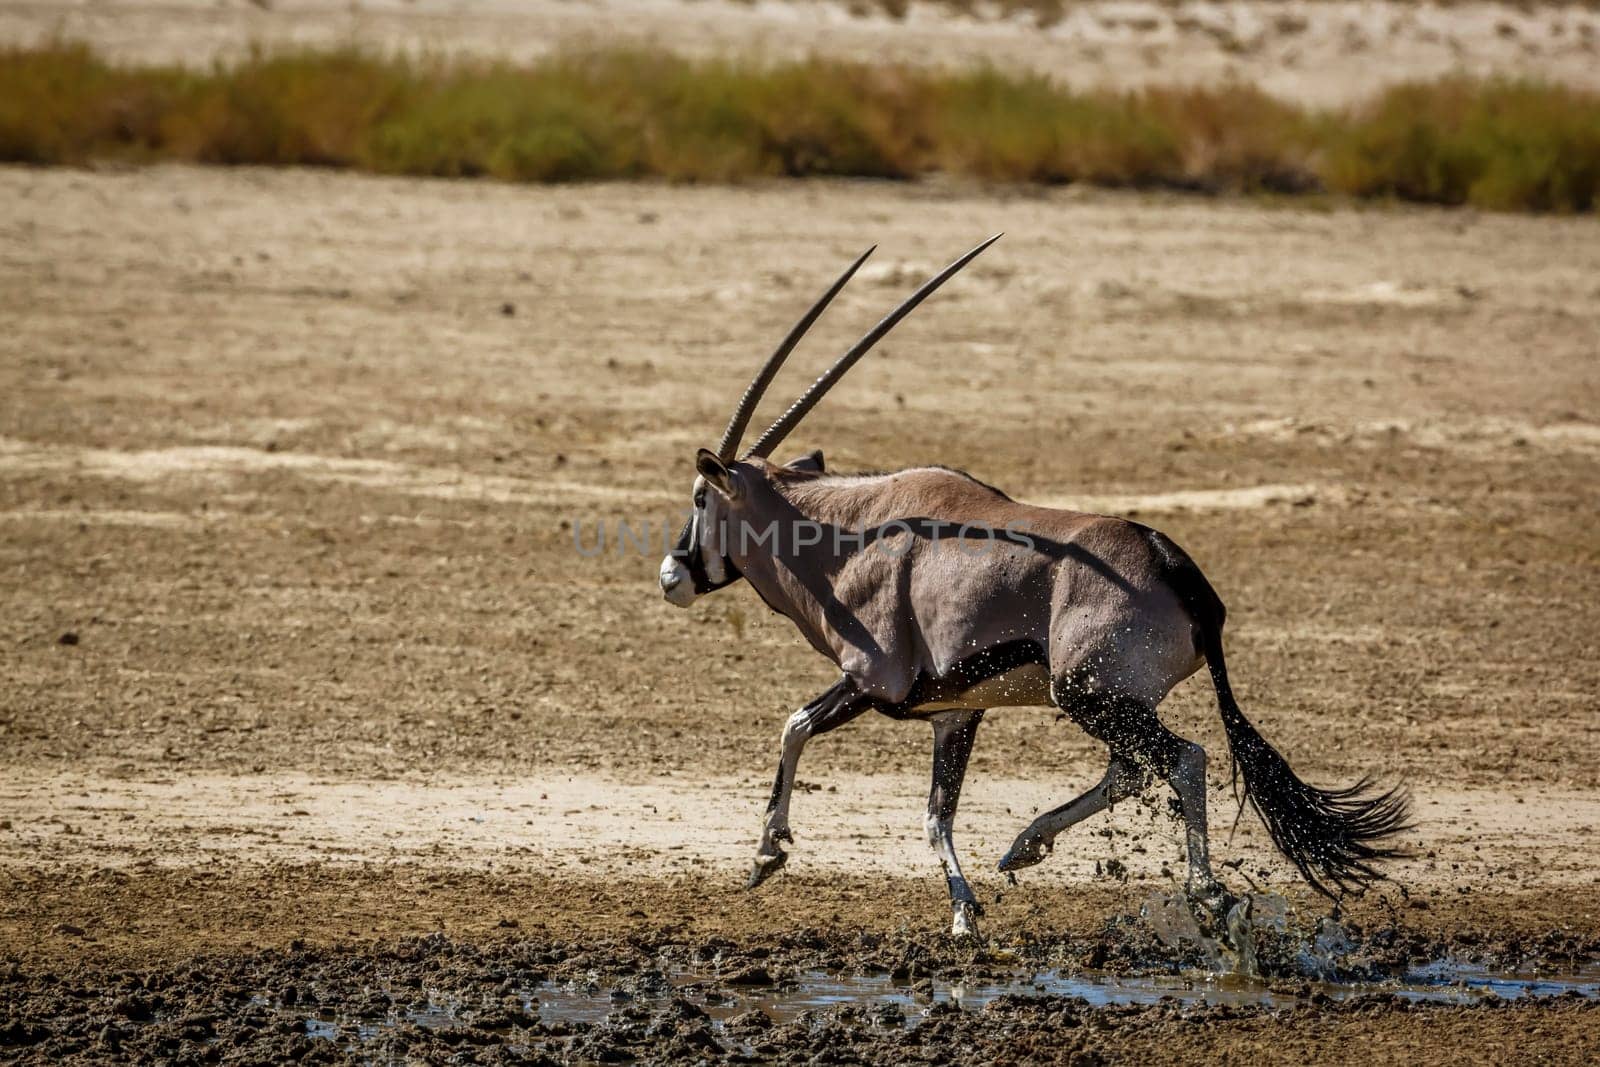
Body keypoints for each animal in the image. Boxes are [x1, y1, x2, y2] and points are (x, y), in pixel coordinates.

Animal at [656, 238, 1408, 940]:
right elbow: (935, 814)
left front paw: (767, 854)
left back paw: (1207, 893)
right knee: (1131, 769)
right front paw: (964, 911)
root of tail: (1174, 563)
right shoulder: (955, 712)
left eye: (700, 495)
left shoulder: (871, 679)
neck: (844, 535)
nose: (672, 575)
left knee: (1182, 759)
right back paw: (1026, 844)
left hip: (1088, 694)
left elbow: (795, 725)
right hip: (1112, 701)